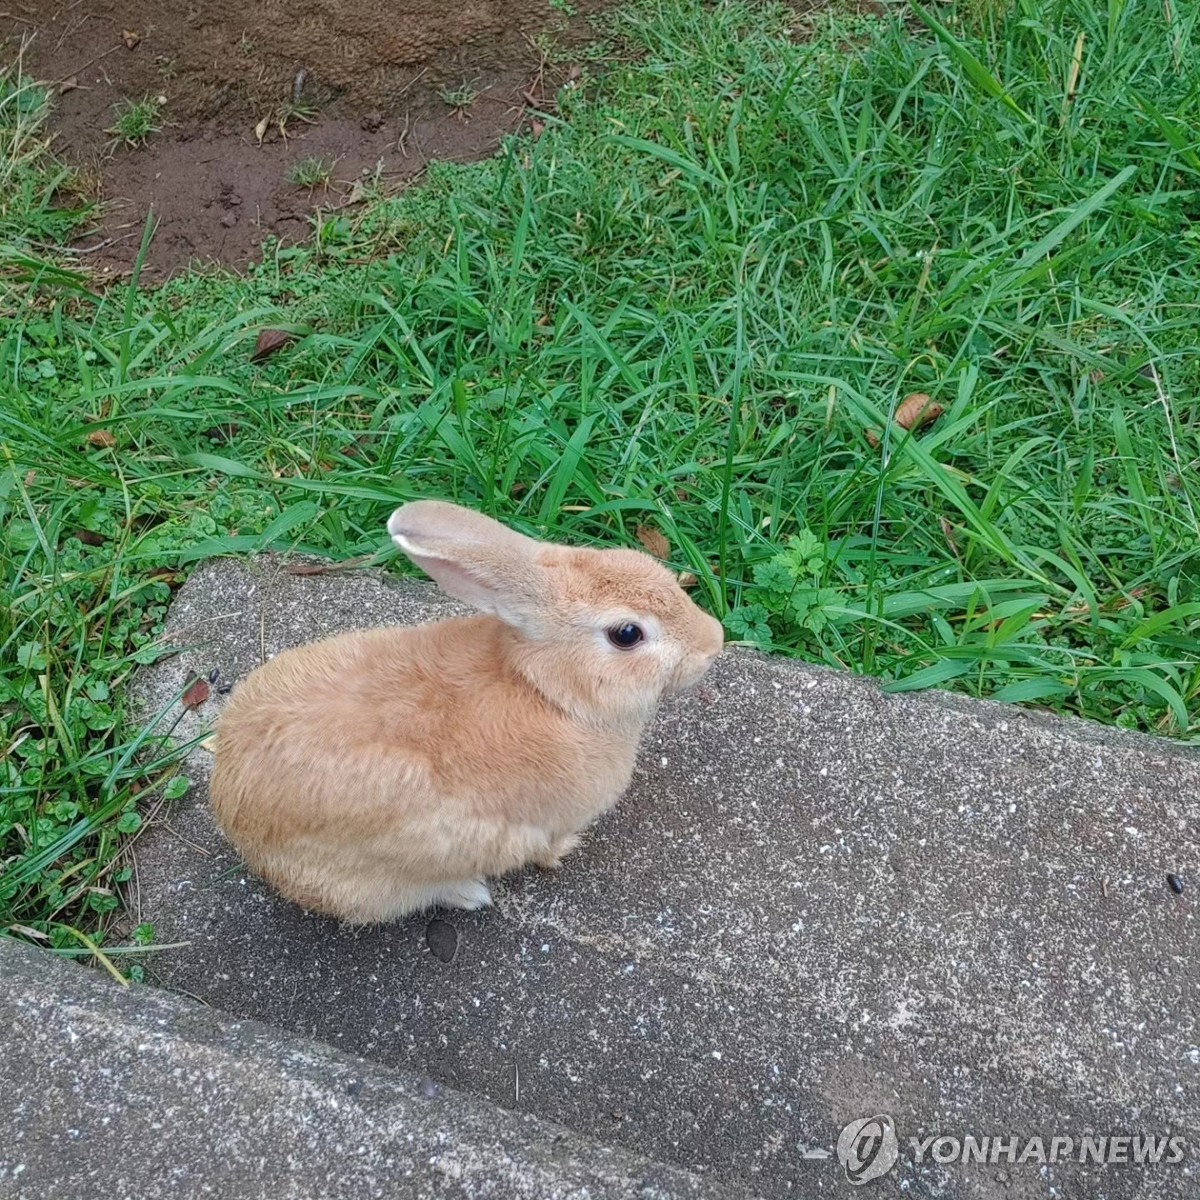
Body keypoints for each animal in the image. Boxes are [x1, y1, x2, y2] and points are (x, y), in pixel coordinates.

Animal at [206, 501, 720, 921]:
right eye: (627, 634)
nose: (713, 642)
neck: (547, 689)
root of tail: (234, 820)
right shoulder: (546, 820)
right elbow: (547, 844)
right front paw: (566, 851)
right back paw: (471, 894)